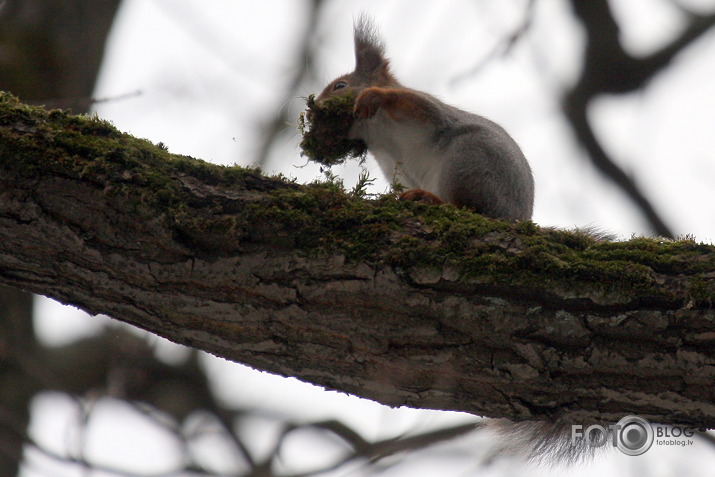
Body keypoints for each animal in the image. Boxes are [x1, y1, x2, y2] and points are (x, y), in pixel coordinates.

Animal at [316, 15, 536, 221]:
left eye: (340, 86)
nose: (313, 110)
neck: (379, 132)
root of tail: (516, 216)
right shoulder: (395, 167)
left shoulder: (428, 112)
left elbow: (411, 103)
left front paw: (374, 96)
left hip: (469, 162)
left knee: (469, 208)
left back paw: (428, 198)